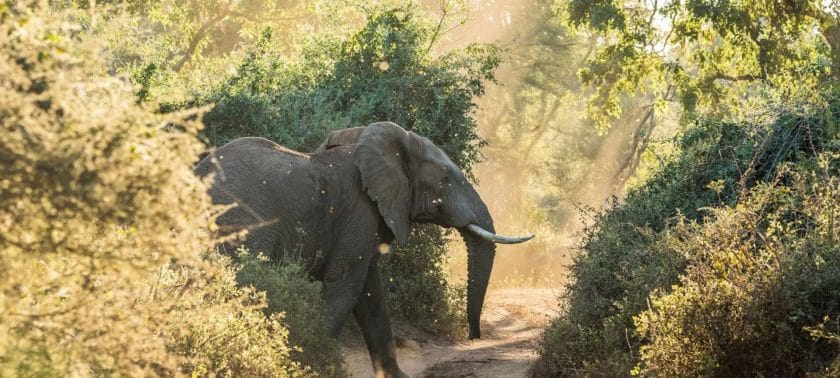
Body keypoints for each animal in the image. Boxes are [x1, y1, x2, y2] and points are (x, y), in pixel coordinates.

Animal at [195, 122, 532, 378]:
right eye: (446, 179)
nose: (474, 336)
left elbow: (371, 294)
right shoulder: (359, 212)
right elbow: (346, 285)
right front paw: (314, 367)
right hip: (239, 226)